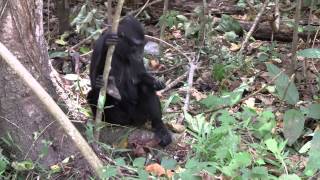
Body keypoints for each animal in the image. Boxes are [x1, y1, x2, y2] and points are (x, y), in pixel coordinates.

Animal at [87, 15, 172, 146]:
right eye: (136, 46)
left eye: (142, 45)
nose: (140, 53)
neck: (119, 52)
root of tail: (131, 122)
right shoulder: (98, 45)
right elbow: (93, 80)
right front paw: (107, 46)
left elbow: (140, 75)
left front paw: (156, 82)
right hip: (120, 118)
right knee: (92, 94)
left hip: (140, 116)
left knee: (145, 88)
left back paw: (160, 127)